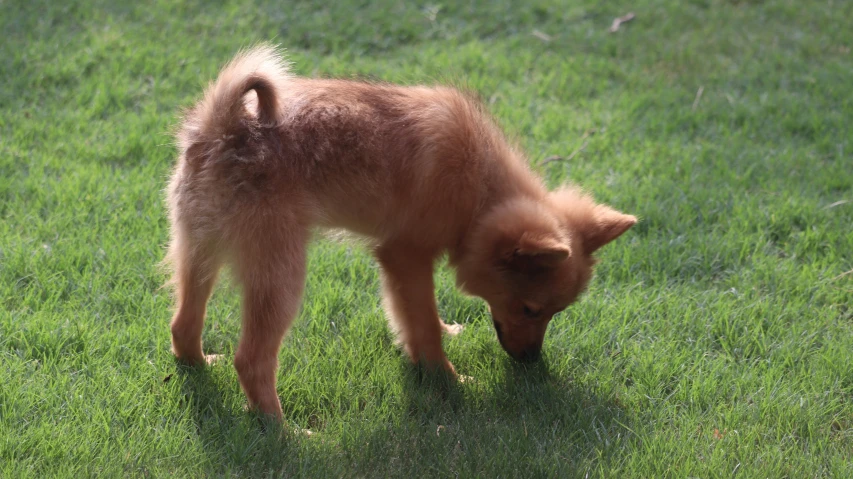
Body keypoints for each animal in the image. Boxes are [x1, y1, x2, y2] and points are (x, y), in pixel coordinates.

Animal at [165, 46, 632, 420]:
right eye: (531, 309)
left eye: (556, 313)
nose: (532, 363)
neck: (479, 189)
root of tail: (227, 125)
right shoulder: (407, 257)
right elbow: (423, 326)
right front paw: (450, 380)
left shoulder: (397, 264)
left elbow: (413, 319)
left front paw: (438, 342)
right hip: (280, 277)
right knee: (251, 360)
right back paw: (284, 430)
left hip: (198, 255)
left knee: (182, 326)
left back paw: (198, 364)